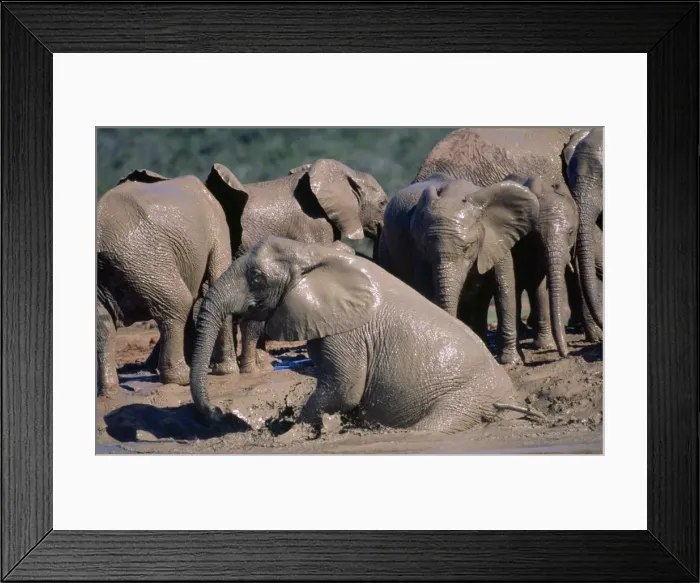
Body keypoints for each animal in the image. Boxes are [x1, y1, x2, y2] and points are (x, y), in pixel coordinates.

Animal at [96, 169, 238, 395]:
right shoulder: (217, 223)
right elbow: (218, 279)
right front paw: (227, 372)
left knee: (102, 324)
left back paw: (110, 392)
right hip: (144, 260)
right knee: (178, 302)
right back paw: (181, 378)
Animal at [189, 236, 543, 434]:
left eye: (256, 277)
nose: (214, 413)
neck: (312, 252)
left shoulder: (348, 335)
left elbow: (344, 388)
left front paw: (290, 434)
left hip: (463, 401)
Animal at [378, 176, 539, 364]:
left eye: (468, 247)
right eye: (426, 248)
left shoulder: (497, 239)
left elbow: (504, 289)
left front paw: (511, 361)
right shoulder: (417, 251)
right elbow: (425, 293)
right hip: (385, 247)